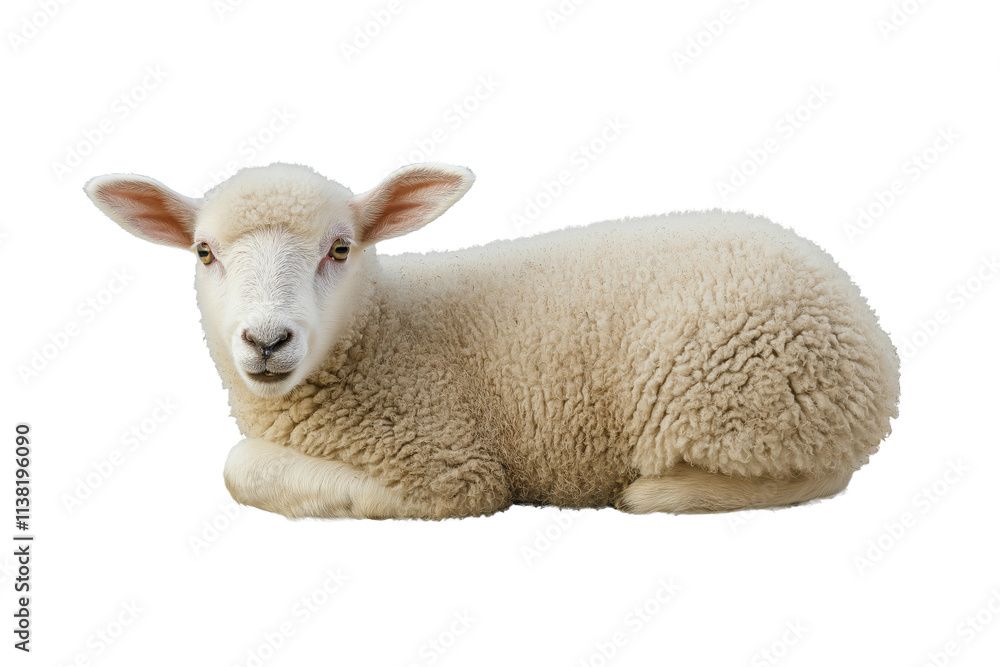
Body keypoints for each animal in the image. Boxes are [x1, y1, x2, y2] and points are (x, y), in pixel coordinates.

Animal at [84, 162, 900, 520]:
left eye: (341, 249)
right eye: (204, 253)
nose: (266, 339)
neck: (384, 332)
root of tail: (872, 340)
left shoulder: (445, 461)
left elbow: (241, 466)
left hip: (743, 402)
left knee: (814, 477)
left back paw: (656, 493)